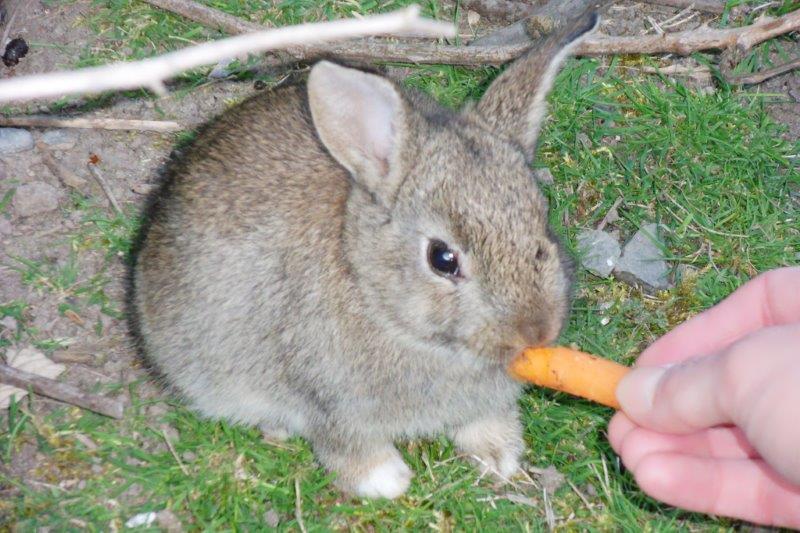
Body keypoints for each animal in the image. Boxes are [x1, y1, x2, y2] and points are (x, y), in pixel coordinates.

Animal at [128, 11, 599, 499]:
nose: (536, 331)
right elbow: (343, 442)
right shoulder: (325, 401)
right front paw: (386, 481)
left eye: (542, 222)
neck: (380, 302)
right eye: (442, 259)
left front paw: (499, 455)